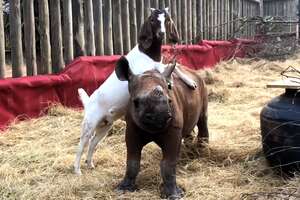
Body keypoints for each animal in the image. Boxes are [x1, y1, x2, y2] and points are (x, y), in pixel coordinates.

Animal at [115, 58, 209, 200]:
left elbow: (168, 164)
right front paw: (123, 189)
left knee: (203, 118)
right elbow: (132, 161)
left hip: (202, 85)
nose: (160, 116)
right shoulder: (131, 128)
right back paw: (189, 152)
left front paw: (174, 195)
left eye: (170, 101)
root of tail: (194, 72)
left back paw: (201, 151)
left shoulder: (173, 130)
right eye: (135, 102)